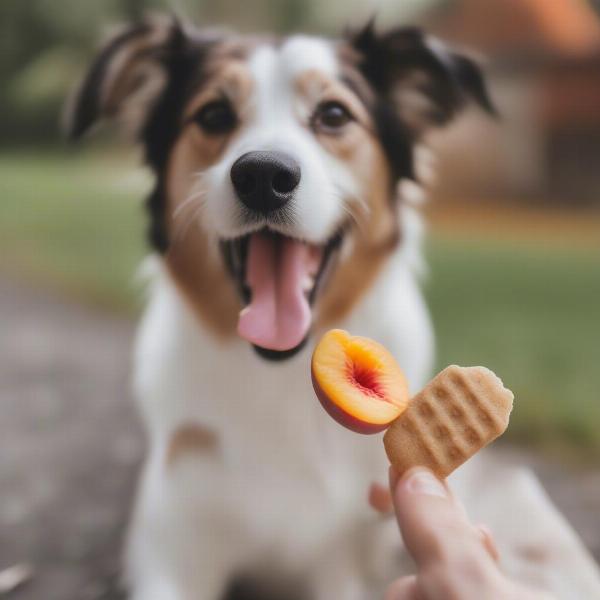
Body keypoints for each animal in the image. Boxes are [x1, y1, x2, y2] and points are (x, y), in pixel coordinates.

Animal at [67, 15, 600, 600]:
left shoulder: (339, 566)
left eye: (334, 115)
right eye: (213, 114)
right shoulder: (173, 548)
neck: (279, 377)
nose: (263, 175)